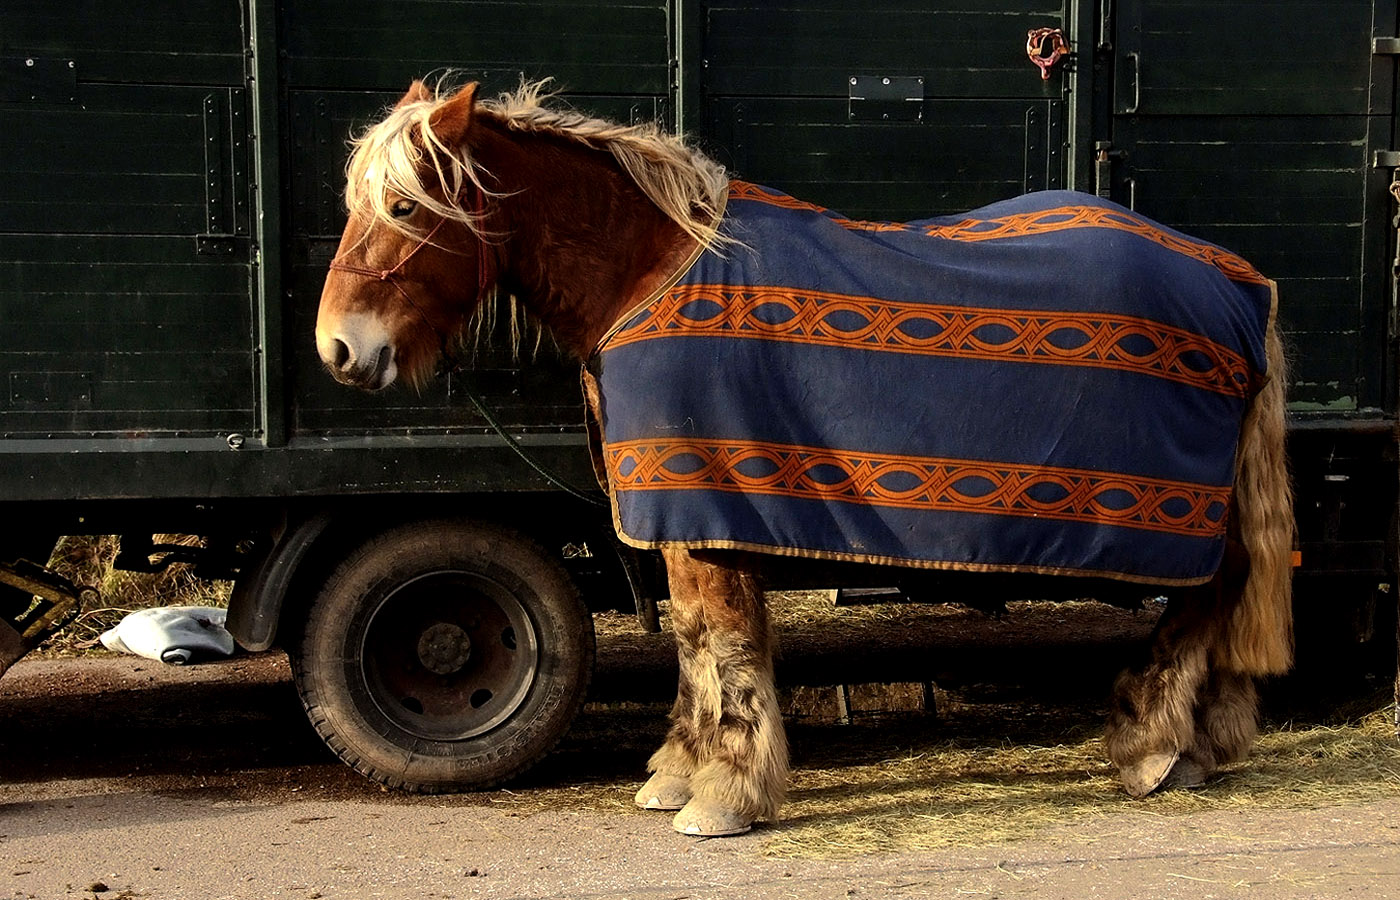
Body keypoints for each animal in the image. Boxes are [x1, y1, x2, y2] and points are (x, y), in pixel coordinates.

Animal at [315, 77, 1288, 839]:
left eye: (405, 208)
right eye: (356, 206)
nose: (338, 349)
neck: (651, 274)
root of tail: (1236, 277)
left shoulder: (705, 507)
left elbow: (721, 639)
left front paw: (723, 793)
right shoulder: (695, 515)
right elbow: (696, 643)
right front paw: (680, 769)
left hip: (1182, 516)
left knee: (1200, 604)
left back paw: (1154, 747)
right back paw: (1207, 743)